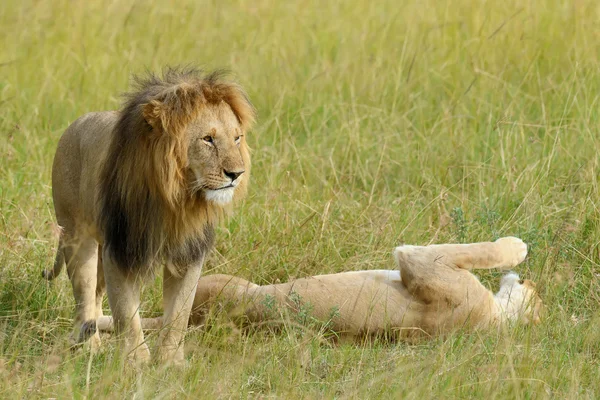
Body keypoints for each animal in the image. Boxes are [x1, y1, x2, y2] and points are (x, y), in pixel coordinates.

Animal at [45, 66, 255, 362]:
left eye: (237, 138)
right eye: (208, 139)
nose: (237, 174)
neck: (177, 199)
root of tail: (74, 125)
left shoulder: (188, 254)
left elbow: (179, 314)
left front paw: (170, 362)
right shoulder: (121, 248)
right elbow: (126, 313)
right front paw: (136, 362)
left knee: (96, 294)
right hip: (77, 236)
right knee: (84, 292)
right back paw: (90, 346)